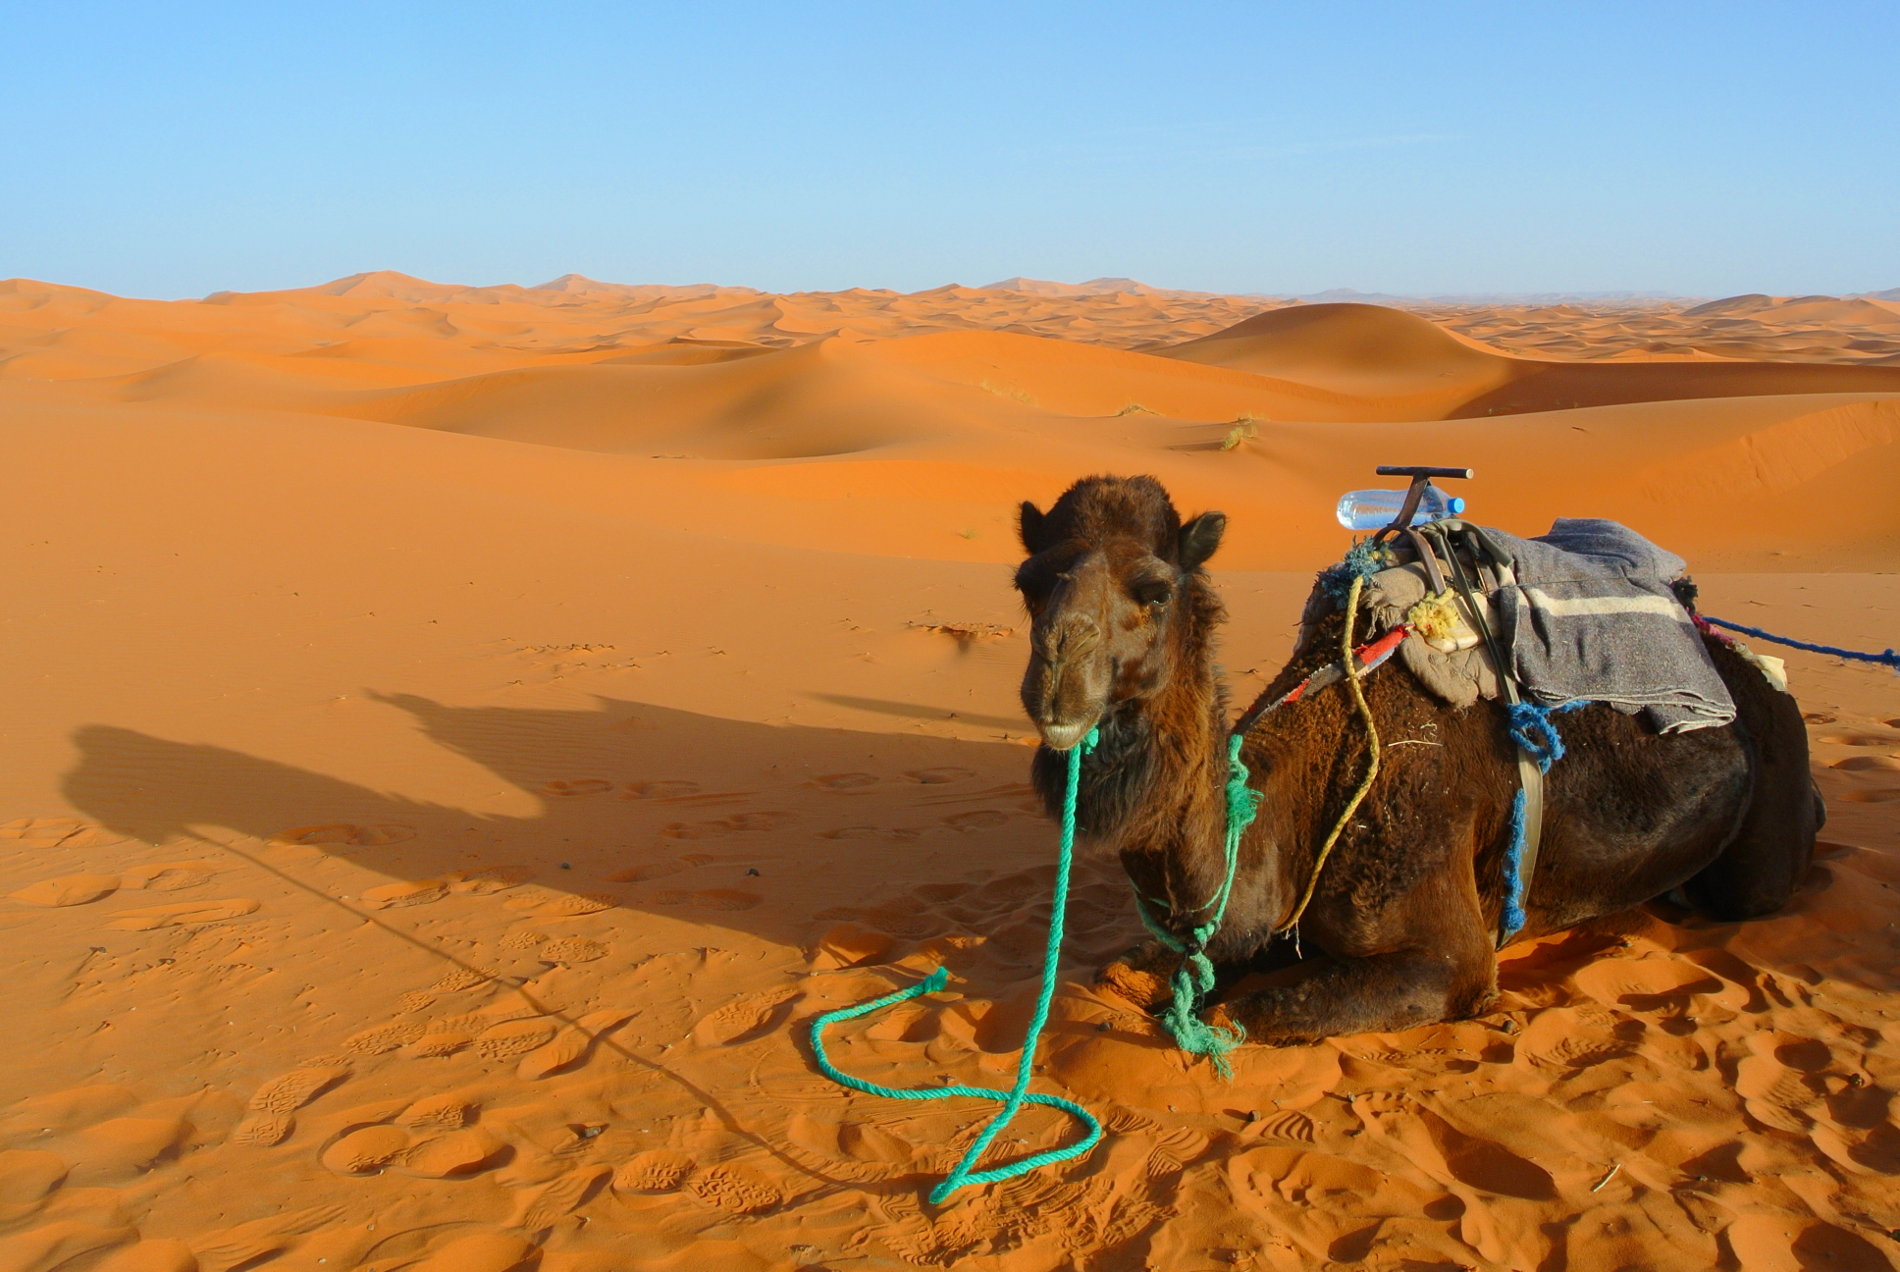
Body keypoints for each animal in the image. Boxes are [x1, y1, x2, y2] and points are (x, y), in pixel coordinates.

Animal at [1018, 473, 1816, 1041]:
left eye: (1154, 590)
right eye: (1027, 585)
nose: (1057, 684)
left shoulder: (1452, 958)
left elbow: (1241, 1014)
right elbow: (1125, 974)